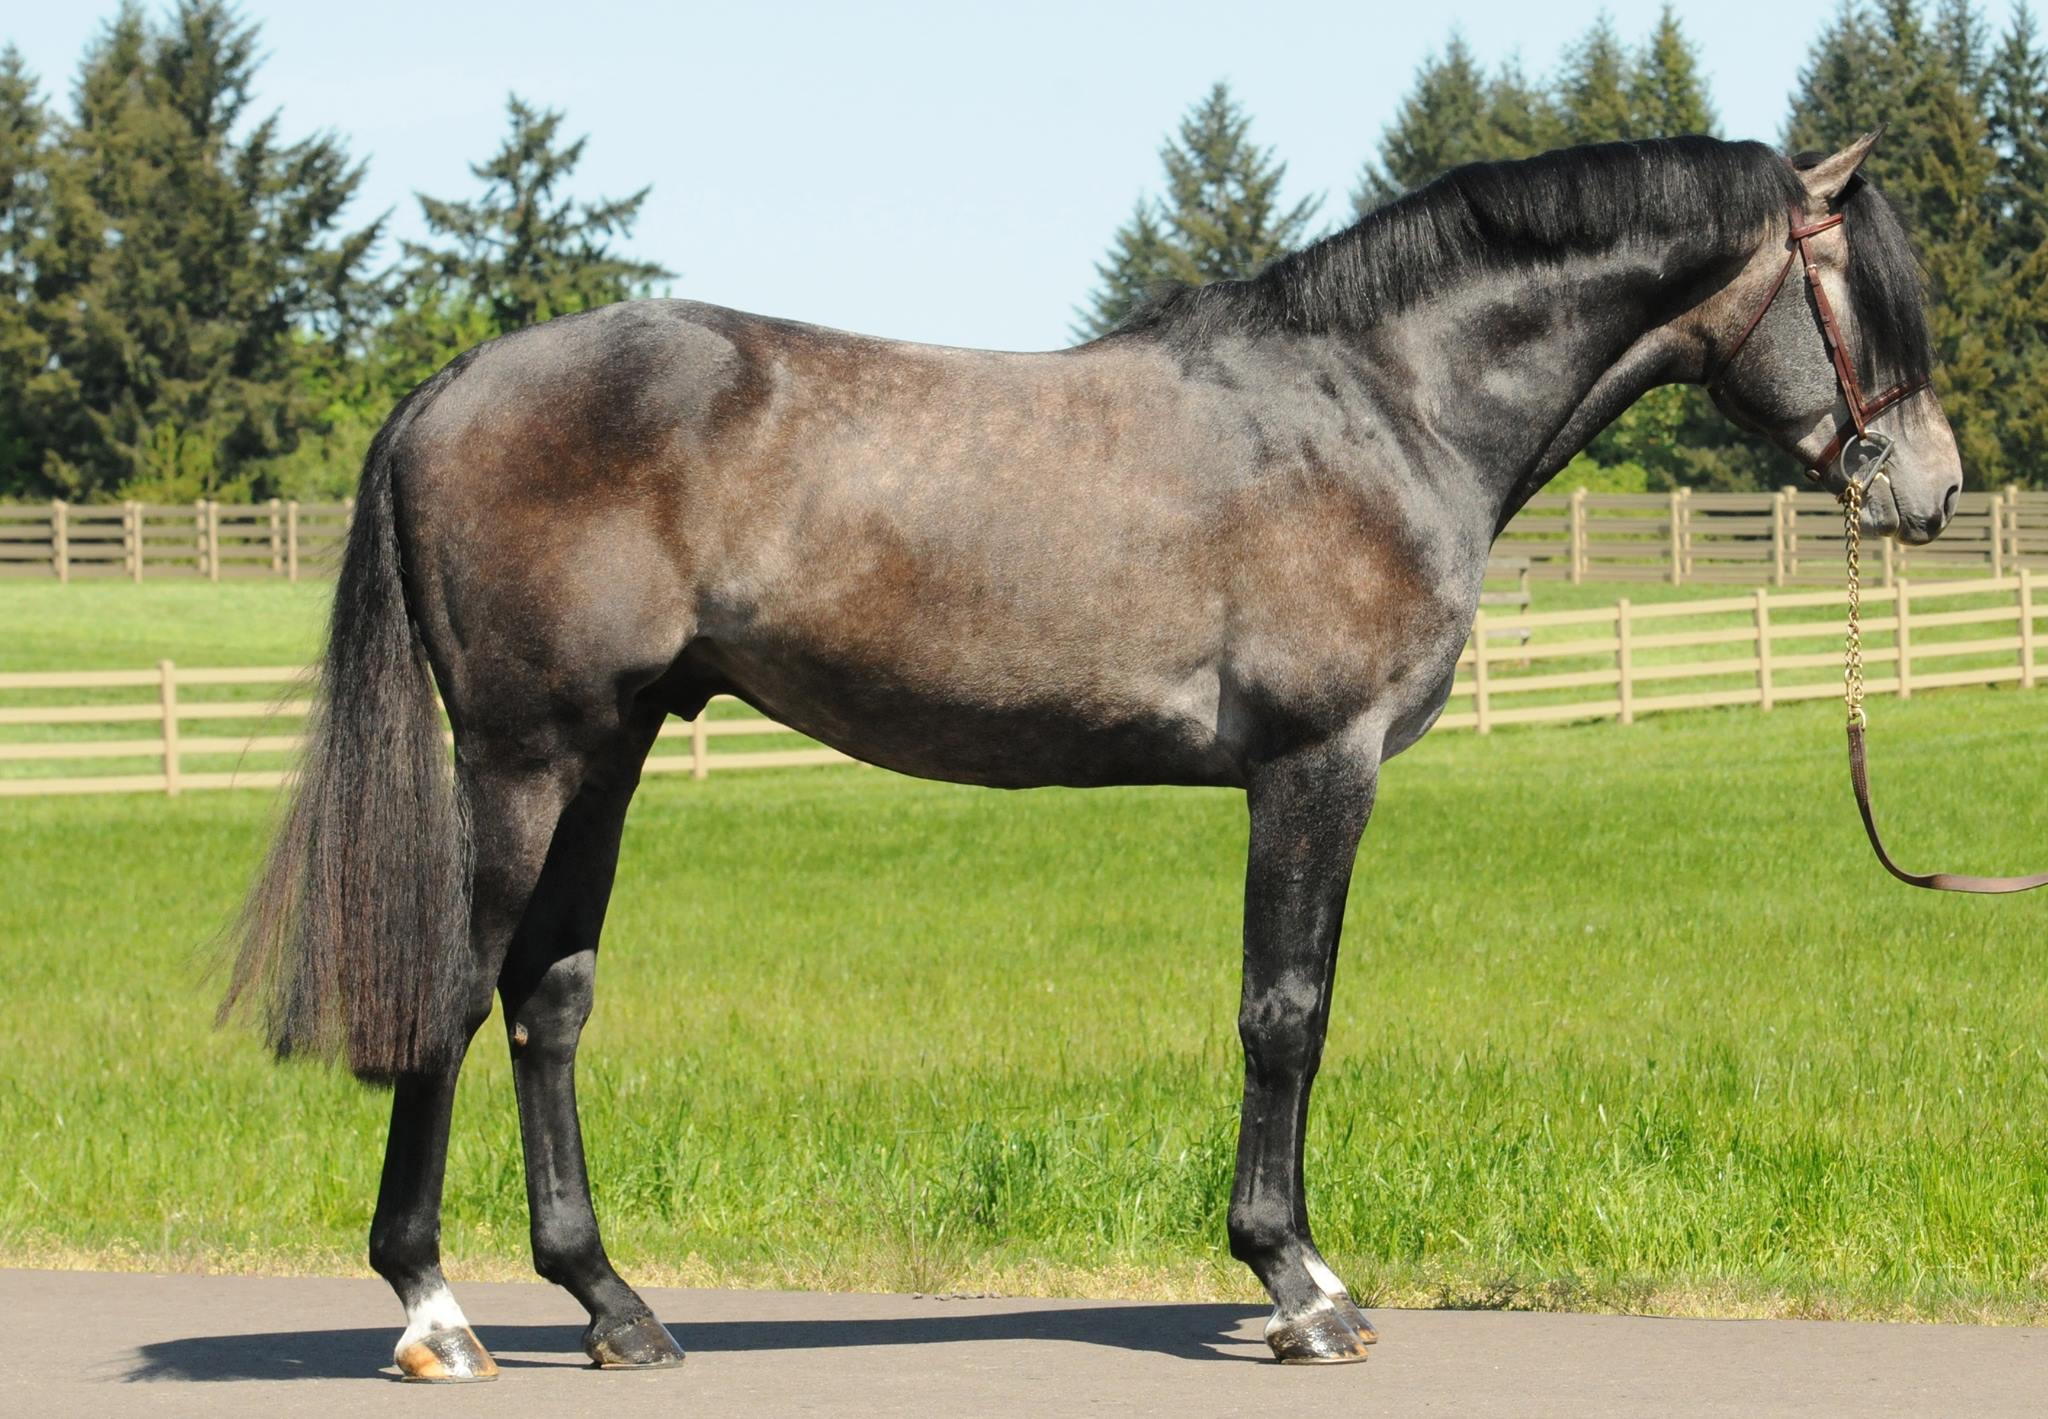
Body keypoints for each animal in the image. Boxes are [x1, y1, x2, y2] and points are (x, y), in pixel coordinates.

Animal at [223, 130, 1958, 1378]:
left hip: (613, 751)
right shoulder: (1317, 767)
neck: (1379, 403)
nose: (1928, 491)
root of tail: (448, 388)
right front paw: (1300, 1283)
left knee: (551, 1001)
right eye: (1862, 297)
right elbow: (1284, 1015)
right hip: (525, 758)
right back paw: (433, 1311)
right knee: (454, 996)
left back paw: (613, 1304)